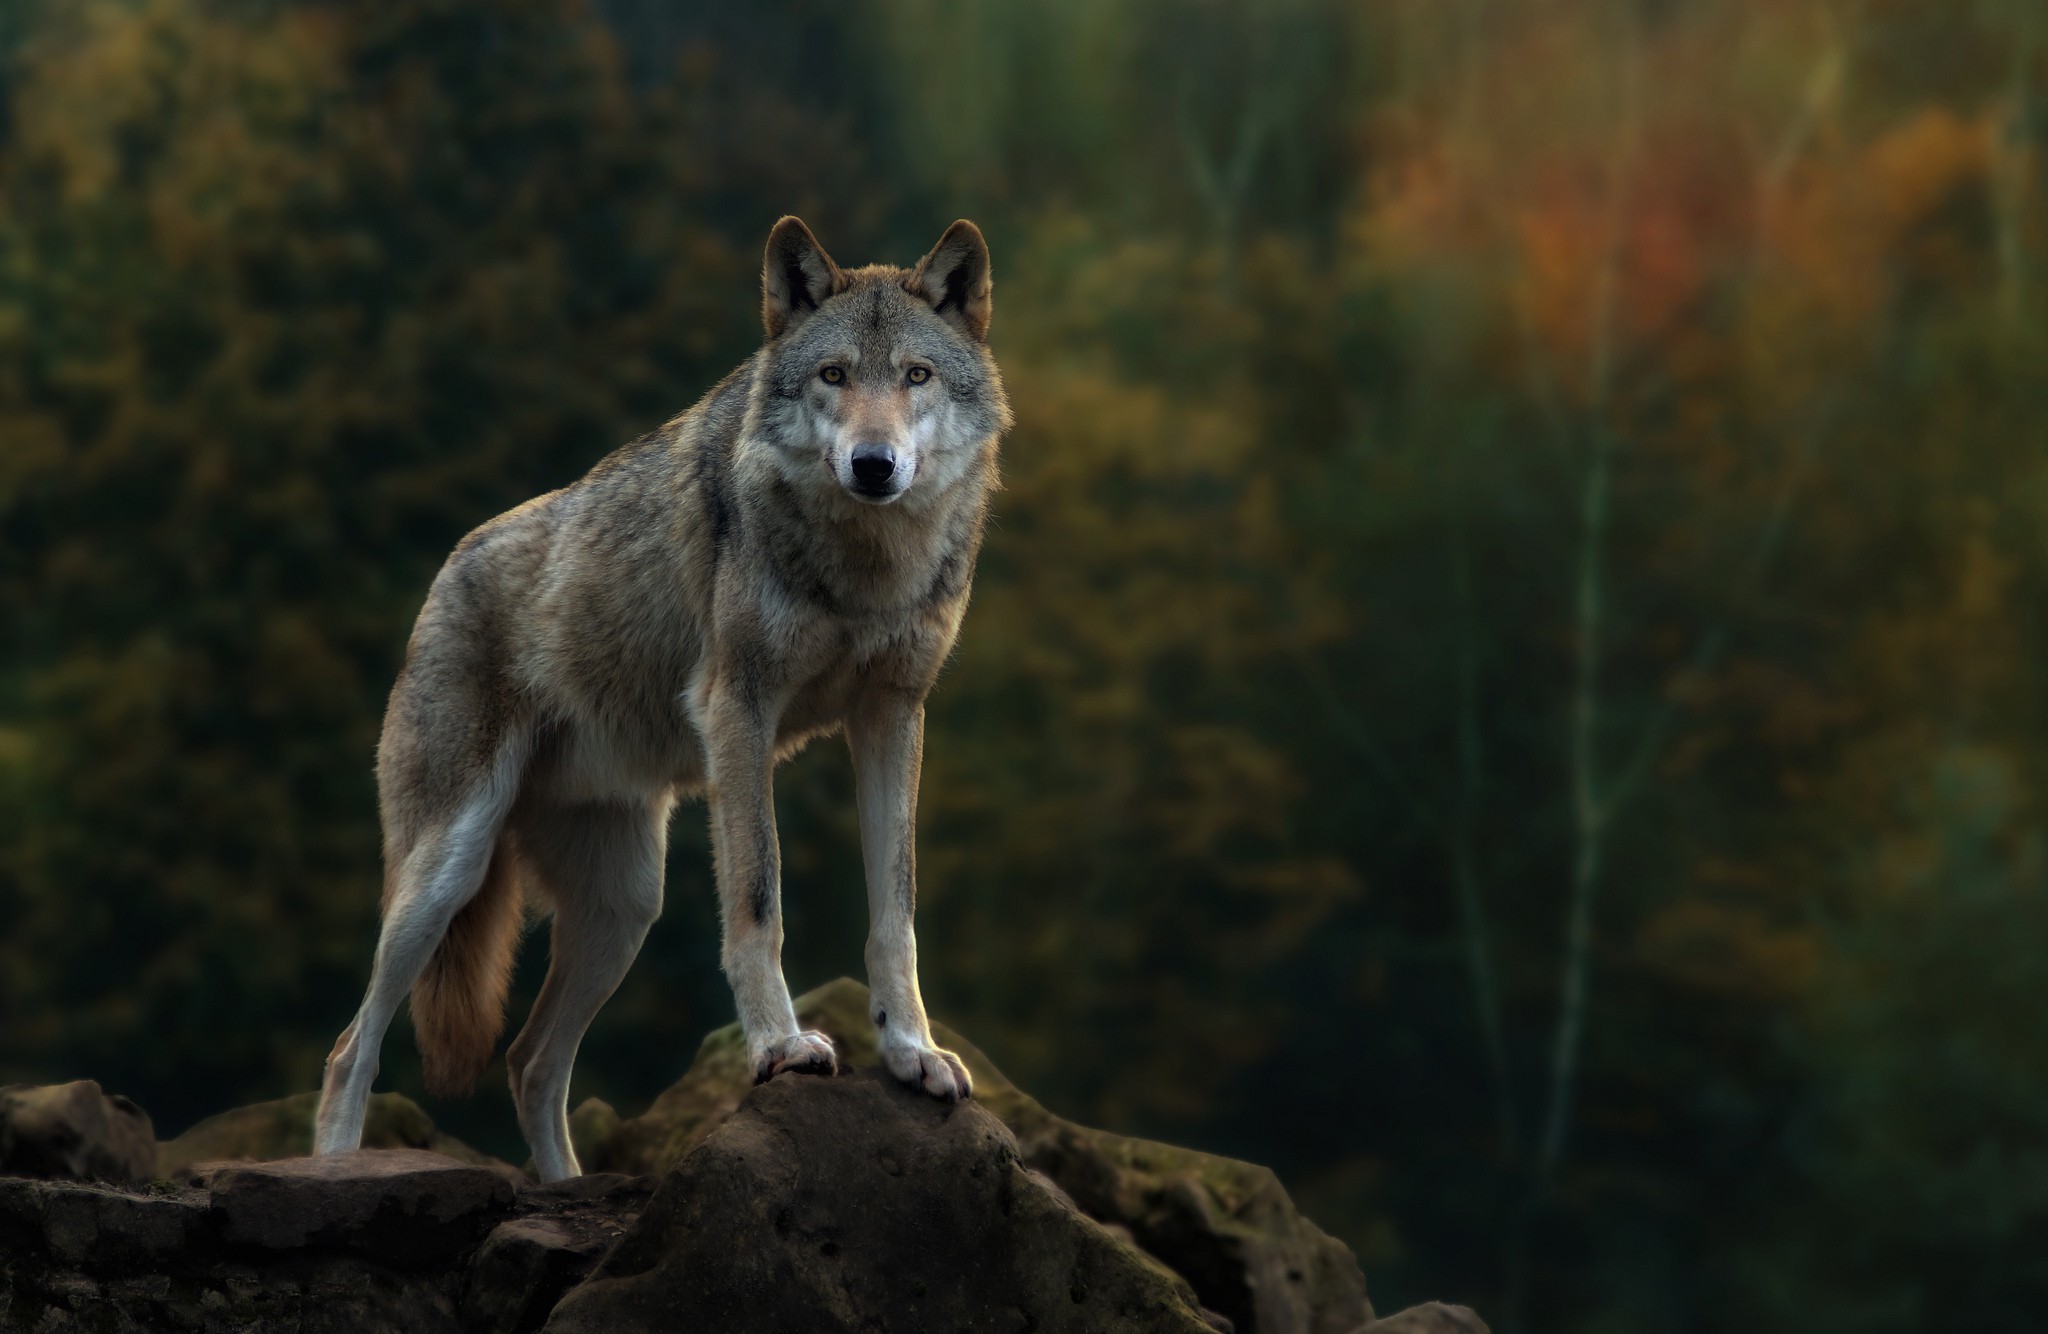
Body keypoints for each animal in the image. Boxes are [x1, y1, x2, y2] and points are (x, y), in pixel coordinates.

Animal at [312, 217, 1011, 1182]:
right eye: (834, 375)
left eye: (916, 375)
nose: (874, 465)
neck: (864, 568)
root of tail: (447, 571)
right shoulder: (738, 712)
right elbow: (759, 900)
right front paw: (781, 1047)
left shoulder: (893, 717)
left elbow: (894, 914)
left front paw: (911, 1052)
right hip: (447, 871)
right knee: (353, 1047)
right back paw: (333, 1169)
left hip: (626, 905)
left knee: (530, 1061)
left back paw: (566, 1186)